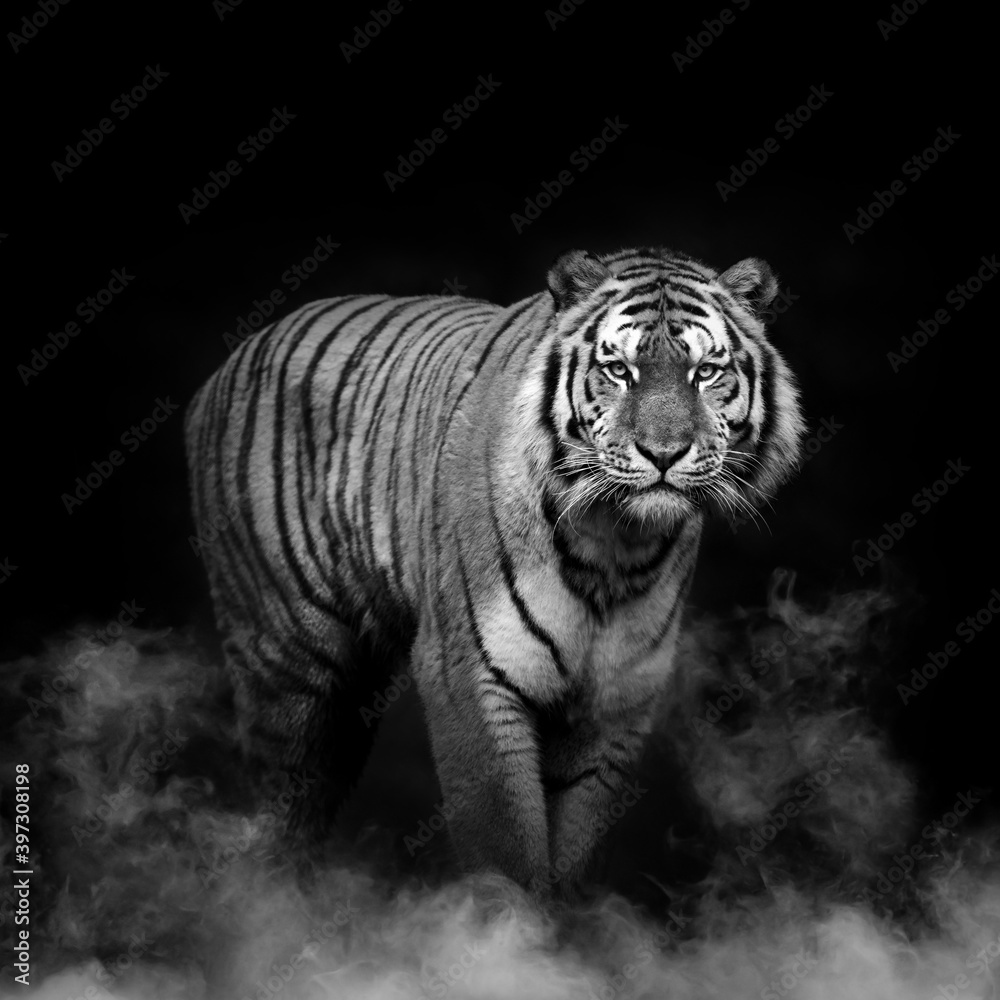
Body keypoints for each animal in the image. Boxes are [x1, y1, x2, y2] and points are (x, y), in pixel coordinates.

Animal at [184, 245, 805, 894]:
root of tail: (233, 360)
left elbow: (572, 856)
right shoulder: (470, 676)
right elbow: (506, 853)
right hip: (287, 666)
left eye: (705, 372)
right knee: (279, 806)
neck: (615, 548)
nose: (663, 453)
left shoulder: (614, 703)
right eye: (618, 370)